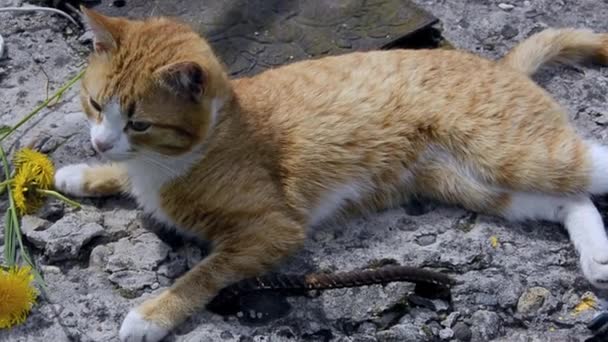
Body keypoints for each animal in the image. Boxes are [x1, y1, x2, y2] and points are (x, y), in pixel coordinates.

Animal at [53, 7, 608, 342]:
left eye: (140, 123)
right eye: (95, 104)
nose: (99, 142)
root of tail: (498, 66)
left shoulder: (272, 231)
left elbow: (203, 273)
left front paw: (150, 315)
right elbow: (121, 178)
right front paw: (80, 174)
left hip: (509, 152)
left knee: (587, 167)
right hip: (478, 185)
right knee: (569, 197)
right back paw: (597, 256)